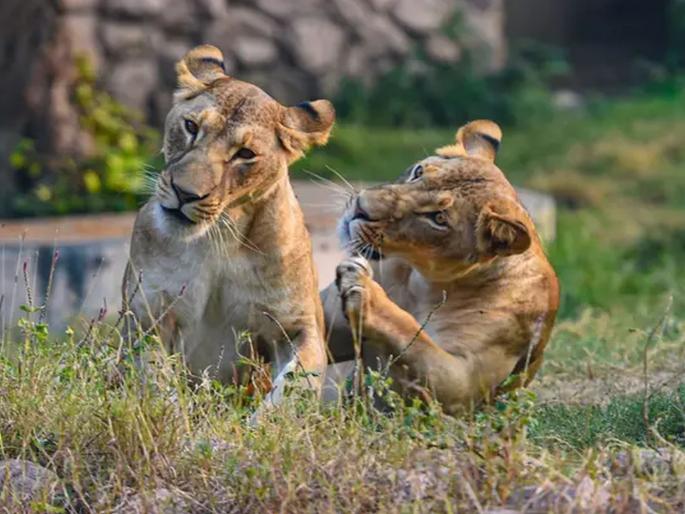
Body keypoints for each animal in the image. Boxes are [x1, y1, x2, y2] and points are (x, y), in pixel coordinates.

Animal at [122, 45, 334, 409]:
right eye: (190, 126)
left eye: (245, 154)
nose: (185, 193)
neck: (218, 237)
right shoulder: (148, 314)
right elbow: (154, 377)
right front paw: (174, 416)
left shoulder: (300, 325)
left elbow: (296, 385)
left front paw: (265, 420)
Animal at [321, 120, 560, 414]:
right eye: (418, 171)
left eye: (438, 218)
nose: (360, 209)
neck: (422, 283)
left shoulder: (465, 384)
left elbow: (414, 336)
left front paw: (363, 291)